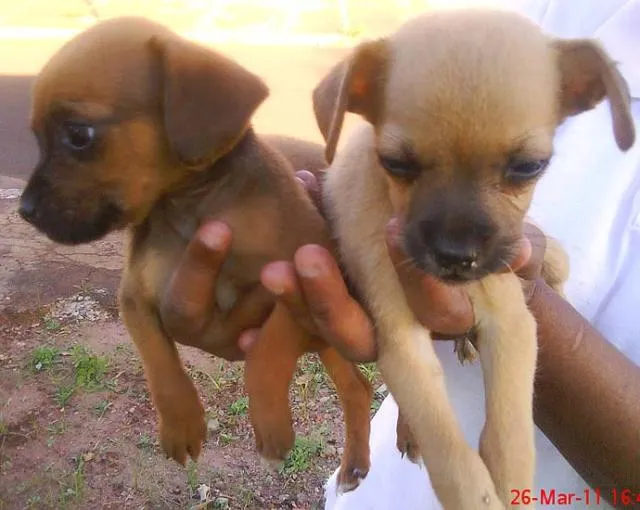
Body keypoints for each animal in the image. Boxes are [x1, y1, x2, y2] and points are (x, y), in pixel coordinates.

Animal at [17, 17, 372, 492]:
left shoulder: (302, 273)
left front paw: (272, 425)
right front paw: (181, 425)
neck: (193, 206)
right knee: (358, 388)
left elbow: (268, 351)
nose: (25, 210)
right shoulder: (135, 297)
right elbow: (159, 363)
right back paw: (356, 463)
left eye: (78, 135)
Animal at [312, 7, 636, 510]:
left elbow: (510, 436)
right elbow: (450, 452)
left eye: (528, 167)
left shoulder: (513, 322)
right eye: (396, 164)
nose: (455, 256)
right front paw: (474, 492)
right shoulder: (399, 337)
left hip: (548, 256)